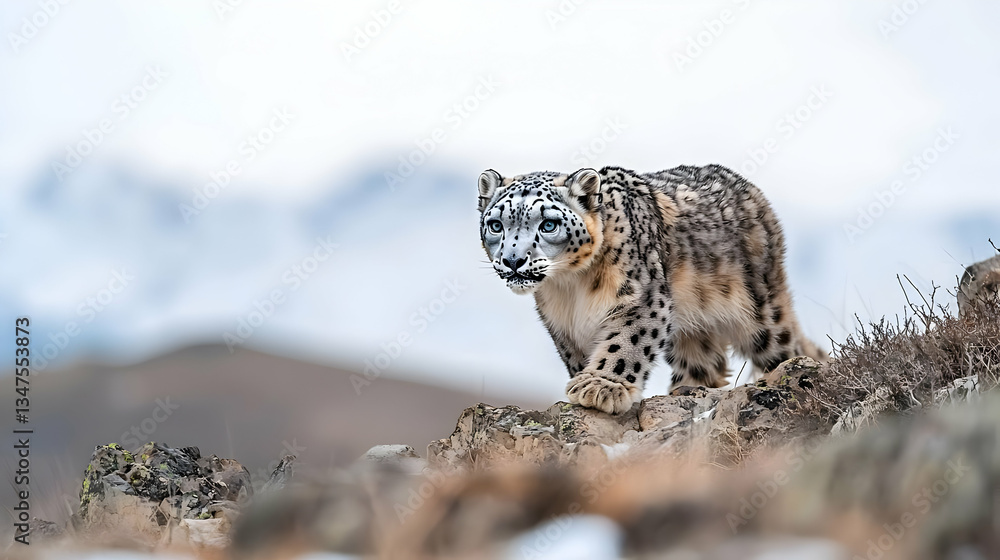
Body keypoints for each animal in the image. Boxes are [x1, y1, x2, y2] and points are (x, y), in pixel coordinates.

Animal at [478, 164, 826, 414]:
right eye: (496, 225)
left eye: (548, 224)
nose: (513, 261)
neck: (568, 287)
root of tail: (753, 192)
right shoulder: (561, 324)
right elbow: (577, 355)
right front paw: (586, 380)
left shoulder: (642, 298)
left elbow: (625, 344)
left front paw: (601, 387)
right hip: (691, 326)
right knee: (704, 360)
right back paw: (687, 390)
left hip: (759, 313)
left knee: (786, 347)